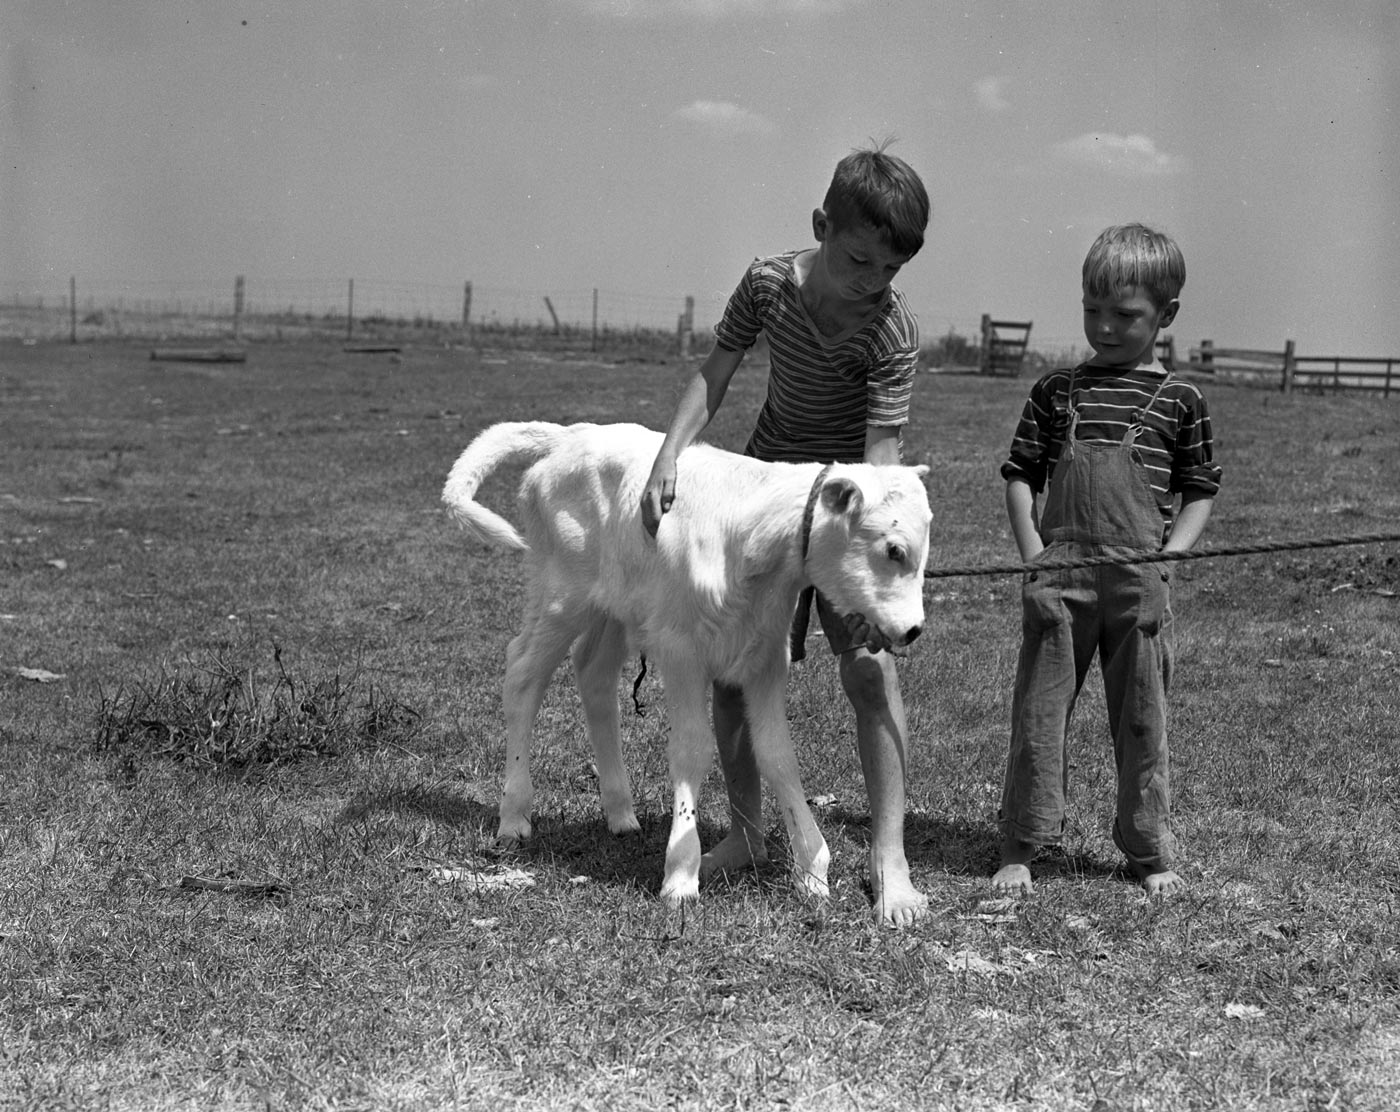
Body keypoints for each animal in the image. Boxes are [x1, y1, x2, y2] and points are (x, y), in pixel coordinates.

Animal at [445, 420, 929, 896]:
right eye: (893, 549)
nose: (913, 630)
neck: (751, 543)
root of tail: (573, 433)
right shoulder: (681, 651)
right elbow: (692, 749)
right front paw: (680, 872)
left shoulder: (765, 657)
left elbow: (777, 754)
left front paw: (811, 866)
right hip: (560, 593)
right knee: (523, 673)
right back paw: (514, 818)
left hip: (615, 606)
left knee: (594, 673)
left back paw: (620, 813)